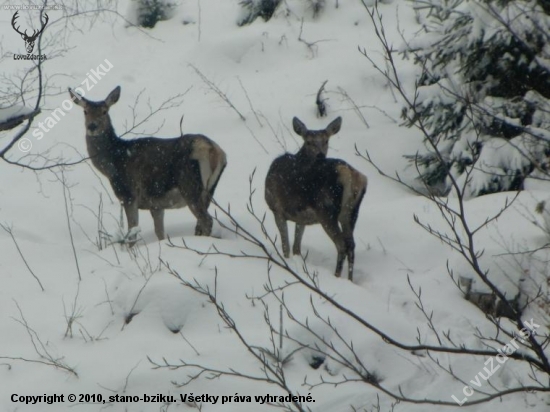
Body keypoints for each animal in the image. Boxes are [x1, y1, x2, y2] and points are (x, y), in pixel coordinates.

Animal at [69, 85, 229, 243]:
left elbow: (132, 234)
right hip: (209, 190)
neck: (113, 164)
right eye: (85, 111)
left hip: (189, 186)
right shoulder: (156, 204)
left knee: (206, 220)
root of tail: (214, 151)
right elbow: (160, 233)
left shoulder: (129, 194)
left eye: (104, 111)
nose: (92, 126)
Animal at [266, 117, 368, 282]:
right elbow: (296, 247)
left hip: (326, 210)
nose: (320, 155)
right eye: (309, 142)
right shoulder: (301, 217)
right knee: (351, 245)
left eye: (326, 140)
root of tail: (350, 175)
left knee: (341, 244)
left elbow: (286, 246)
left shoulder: (277, 209)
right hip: (351, 212)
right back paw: (350, 280)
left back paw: (336, 276)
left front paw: (286, 262)